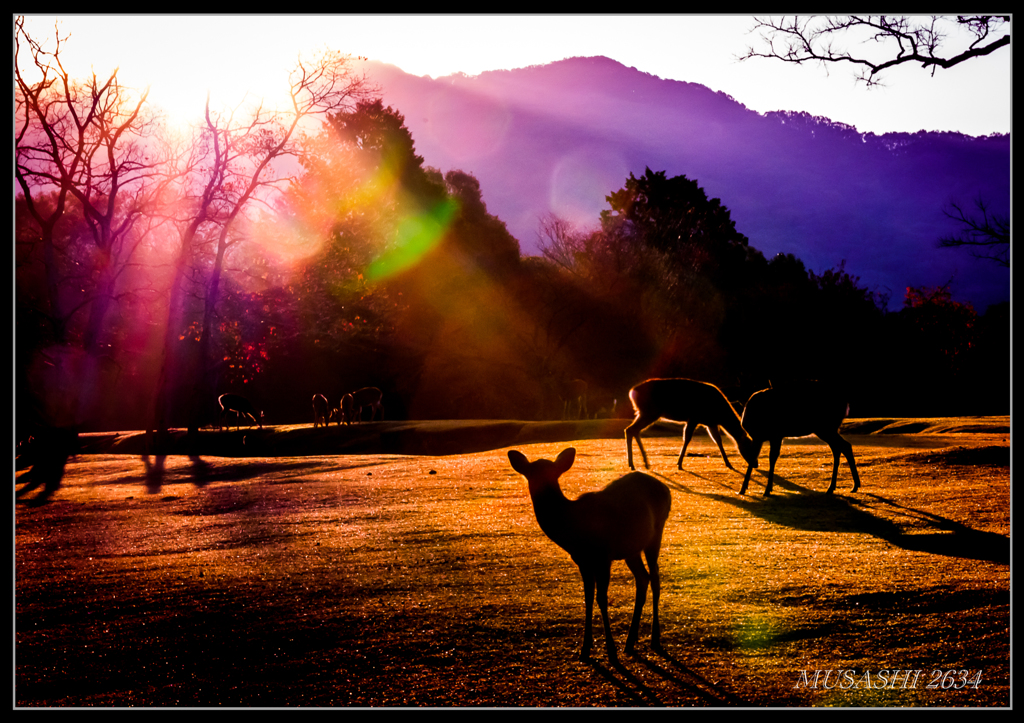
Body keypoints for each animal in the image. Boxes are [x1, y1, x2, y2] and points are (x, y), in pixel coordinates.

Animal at [505, 444, 671, 659]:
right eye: (530, 473)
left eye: (552, 473)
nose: (540, 489)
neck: (573, 529)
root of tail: (667, 490)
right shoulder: (582, 560)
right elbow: (588, 598)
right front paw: (585, 648)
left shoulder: (603, 556)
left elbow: (601, 598)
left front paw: (610, 650)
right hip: (631, 548)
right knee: (643, 578)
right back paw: (630, 642)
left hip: (656, 533)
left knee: (655, 577)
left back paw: (654, 639)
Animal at [622, 376, 761, 473]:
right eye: (750, 447)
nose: (756, 464)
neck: (719, 414)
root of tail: (631, 392)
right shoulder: (694, 418)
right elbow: (687, 438)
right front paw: (679, 464)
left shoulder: (710, 423)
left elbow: (718, 441)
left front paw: (729, 464)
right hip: (650, 412)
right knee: (631, 430)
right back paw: (636, 463)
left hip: (644, 412)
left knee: (631, 430)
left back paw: (640, 463)